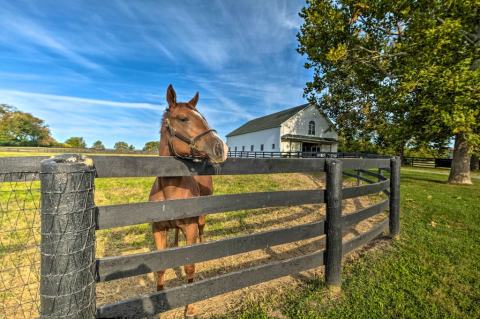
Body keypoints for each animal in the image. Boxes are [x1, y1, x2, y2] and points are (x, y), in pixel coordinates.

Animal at [149, 84, 228, 318]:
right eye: (183, 118)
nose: (220, 148)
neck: (170, 190)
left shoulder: (191, 228)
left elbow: (190, 266)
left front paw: (190, 307)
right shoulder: (158, 229)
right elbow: (160, 267)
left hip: (201, 219)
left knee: (202, 232)